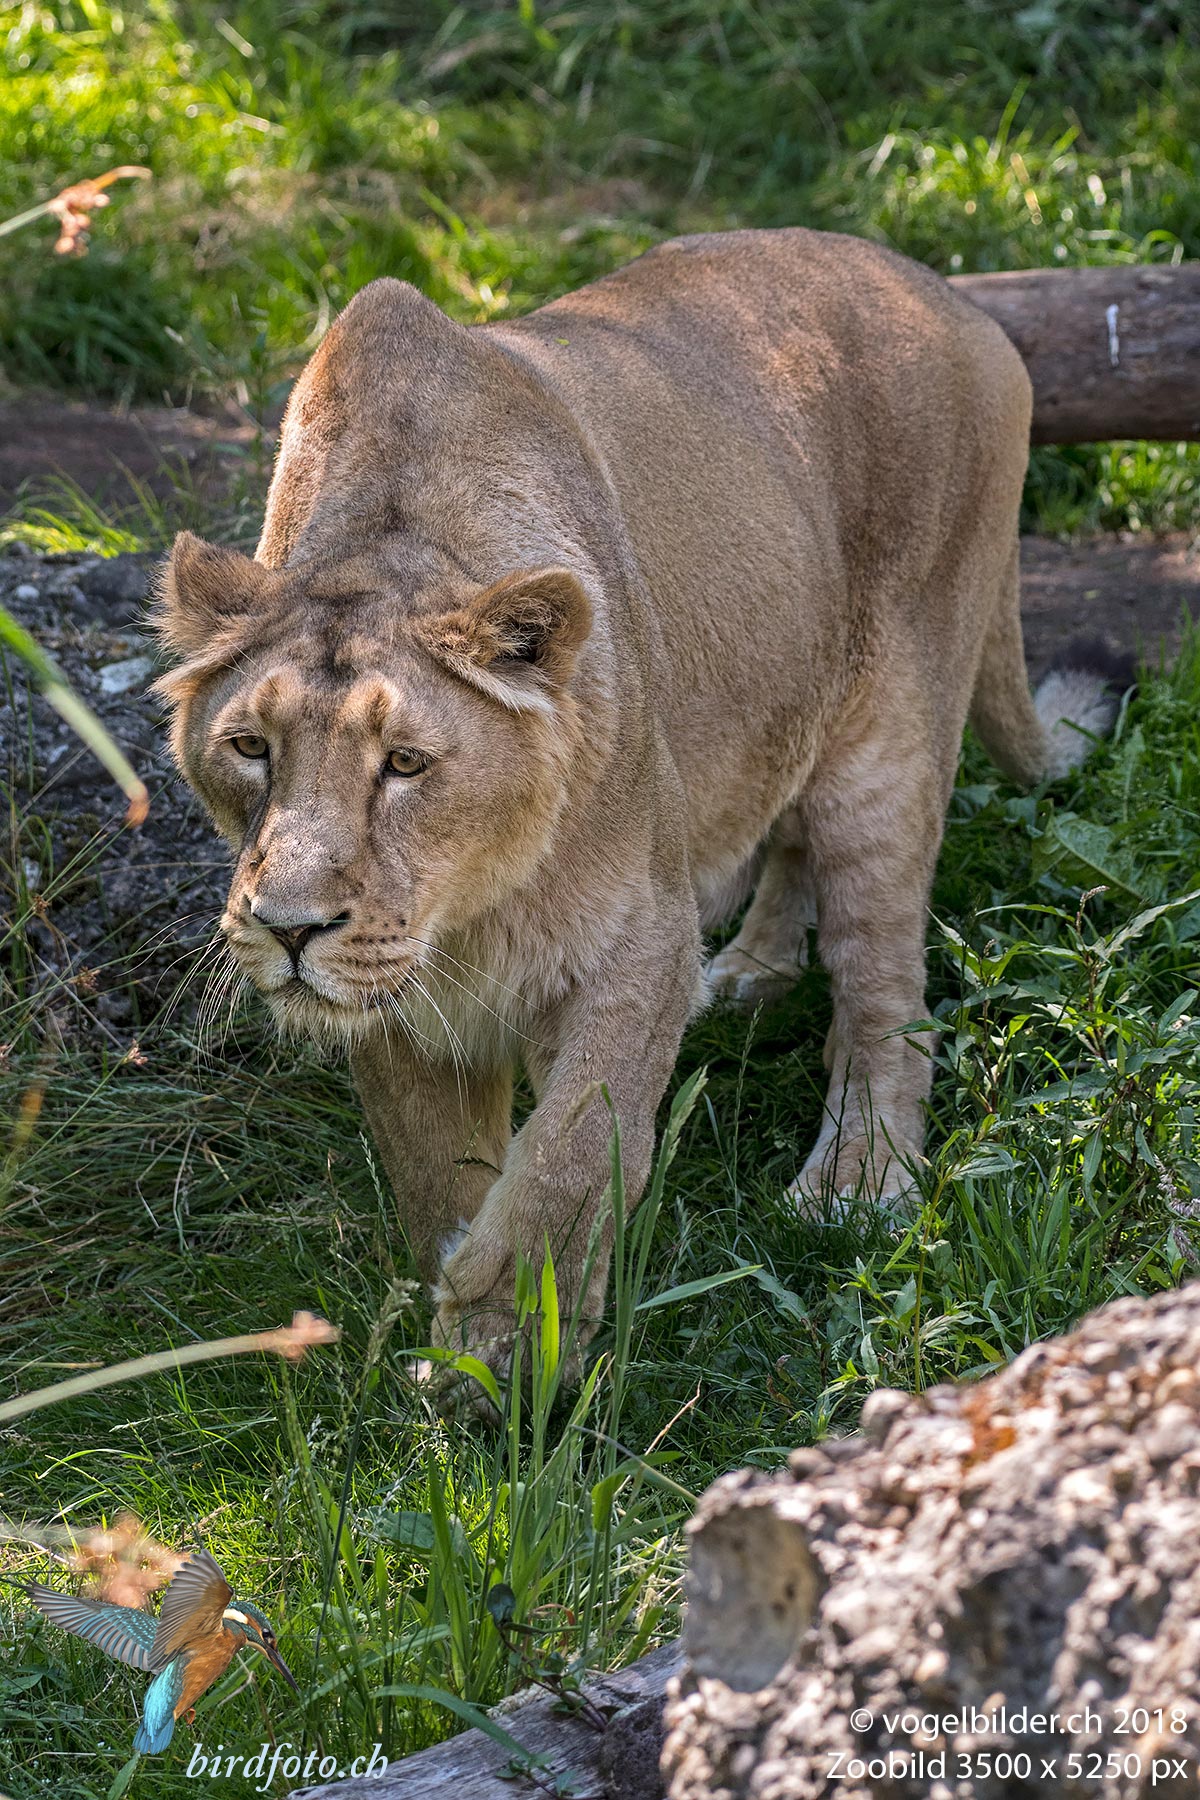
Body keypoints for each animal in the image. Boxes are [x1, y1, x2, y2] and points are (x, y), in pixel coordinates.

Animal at [155, 228, 1123, 1396]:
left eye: (406, 764)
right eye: (250, 749)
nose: (290, 931)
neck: (465, 913)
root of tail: (951, 297)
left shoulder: (640, 938)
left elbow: (572, 1151)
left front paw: (508, 1340)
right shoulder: (393, 995)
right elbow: (437, 1167)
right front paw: (461, 1341)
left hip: (892, 738)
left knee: (886, 988)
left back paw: (855, 1182)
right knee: (788, 837)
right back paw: (748, 975)